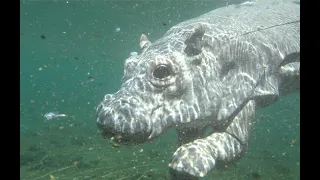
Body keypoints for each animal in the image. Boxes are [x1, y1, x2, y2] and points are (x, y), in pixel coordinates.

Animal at [95, 0, 300, 179]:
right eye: (128, 63)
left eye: (161, 71)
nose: (109, 113)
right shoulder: (193, 118)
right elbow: (189, 135)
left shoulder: (246, 93)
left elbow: (234, 140)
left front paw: (186, 162)